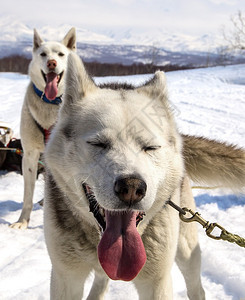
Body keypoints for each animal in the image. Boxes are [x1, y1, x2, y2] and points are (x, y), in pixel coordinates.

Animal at [10, 28, 76, 230]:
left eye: (61, 54)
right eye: (43, 54)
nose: (51, 63)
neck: (50, 104)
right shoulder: (30, 155)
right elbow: (27, 196)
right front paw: (22, 221)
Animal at [44, 52, 245, 298]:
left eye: (150, 147)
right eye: (98, 143)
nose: (131, 187)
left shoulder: (156, 282)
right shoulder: (66, 277)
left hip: (186, 249)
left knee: (196, 287)